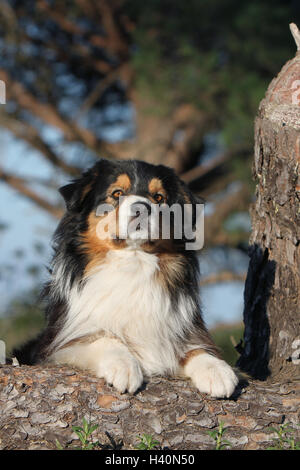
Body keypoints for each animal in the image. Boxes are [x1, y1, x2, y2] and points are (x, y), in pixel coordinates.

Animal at [15, 158, 239, 396]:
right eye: (117, 193)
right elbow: (102, 337)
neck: (134, 260)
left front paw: (216, 370)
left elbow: (192, 347)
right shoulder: (58, 343)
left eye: (159, 198)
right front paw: (123, 366)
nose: (142, 207)